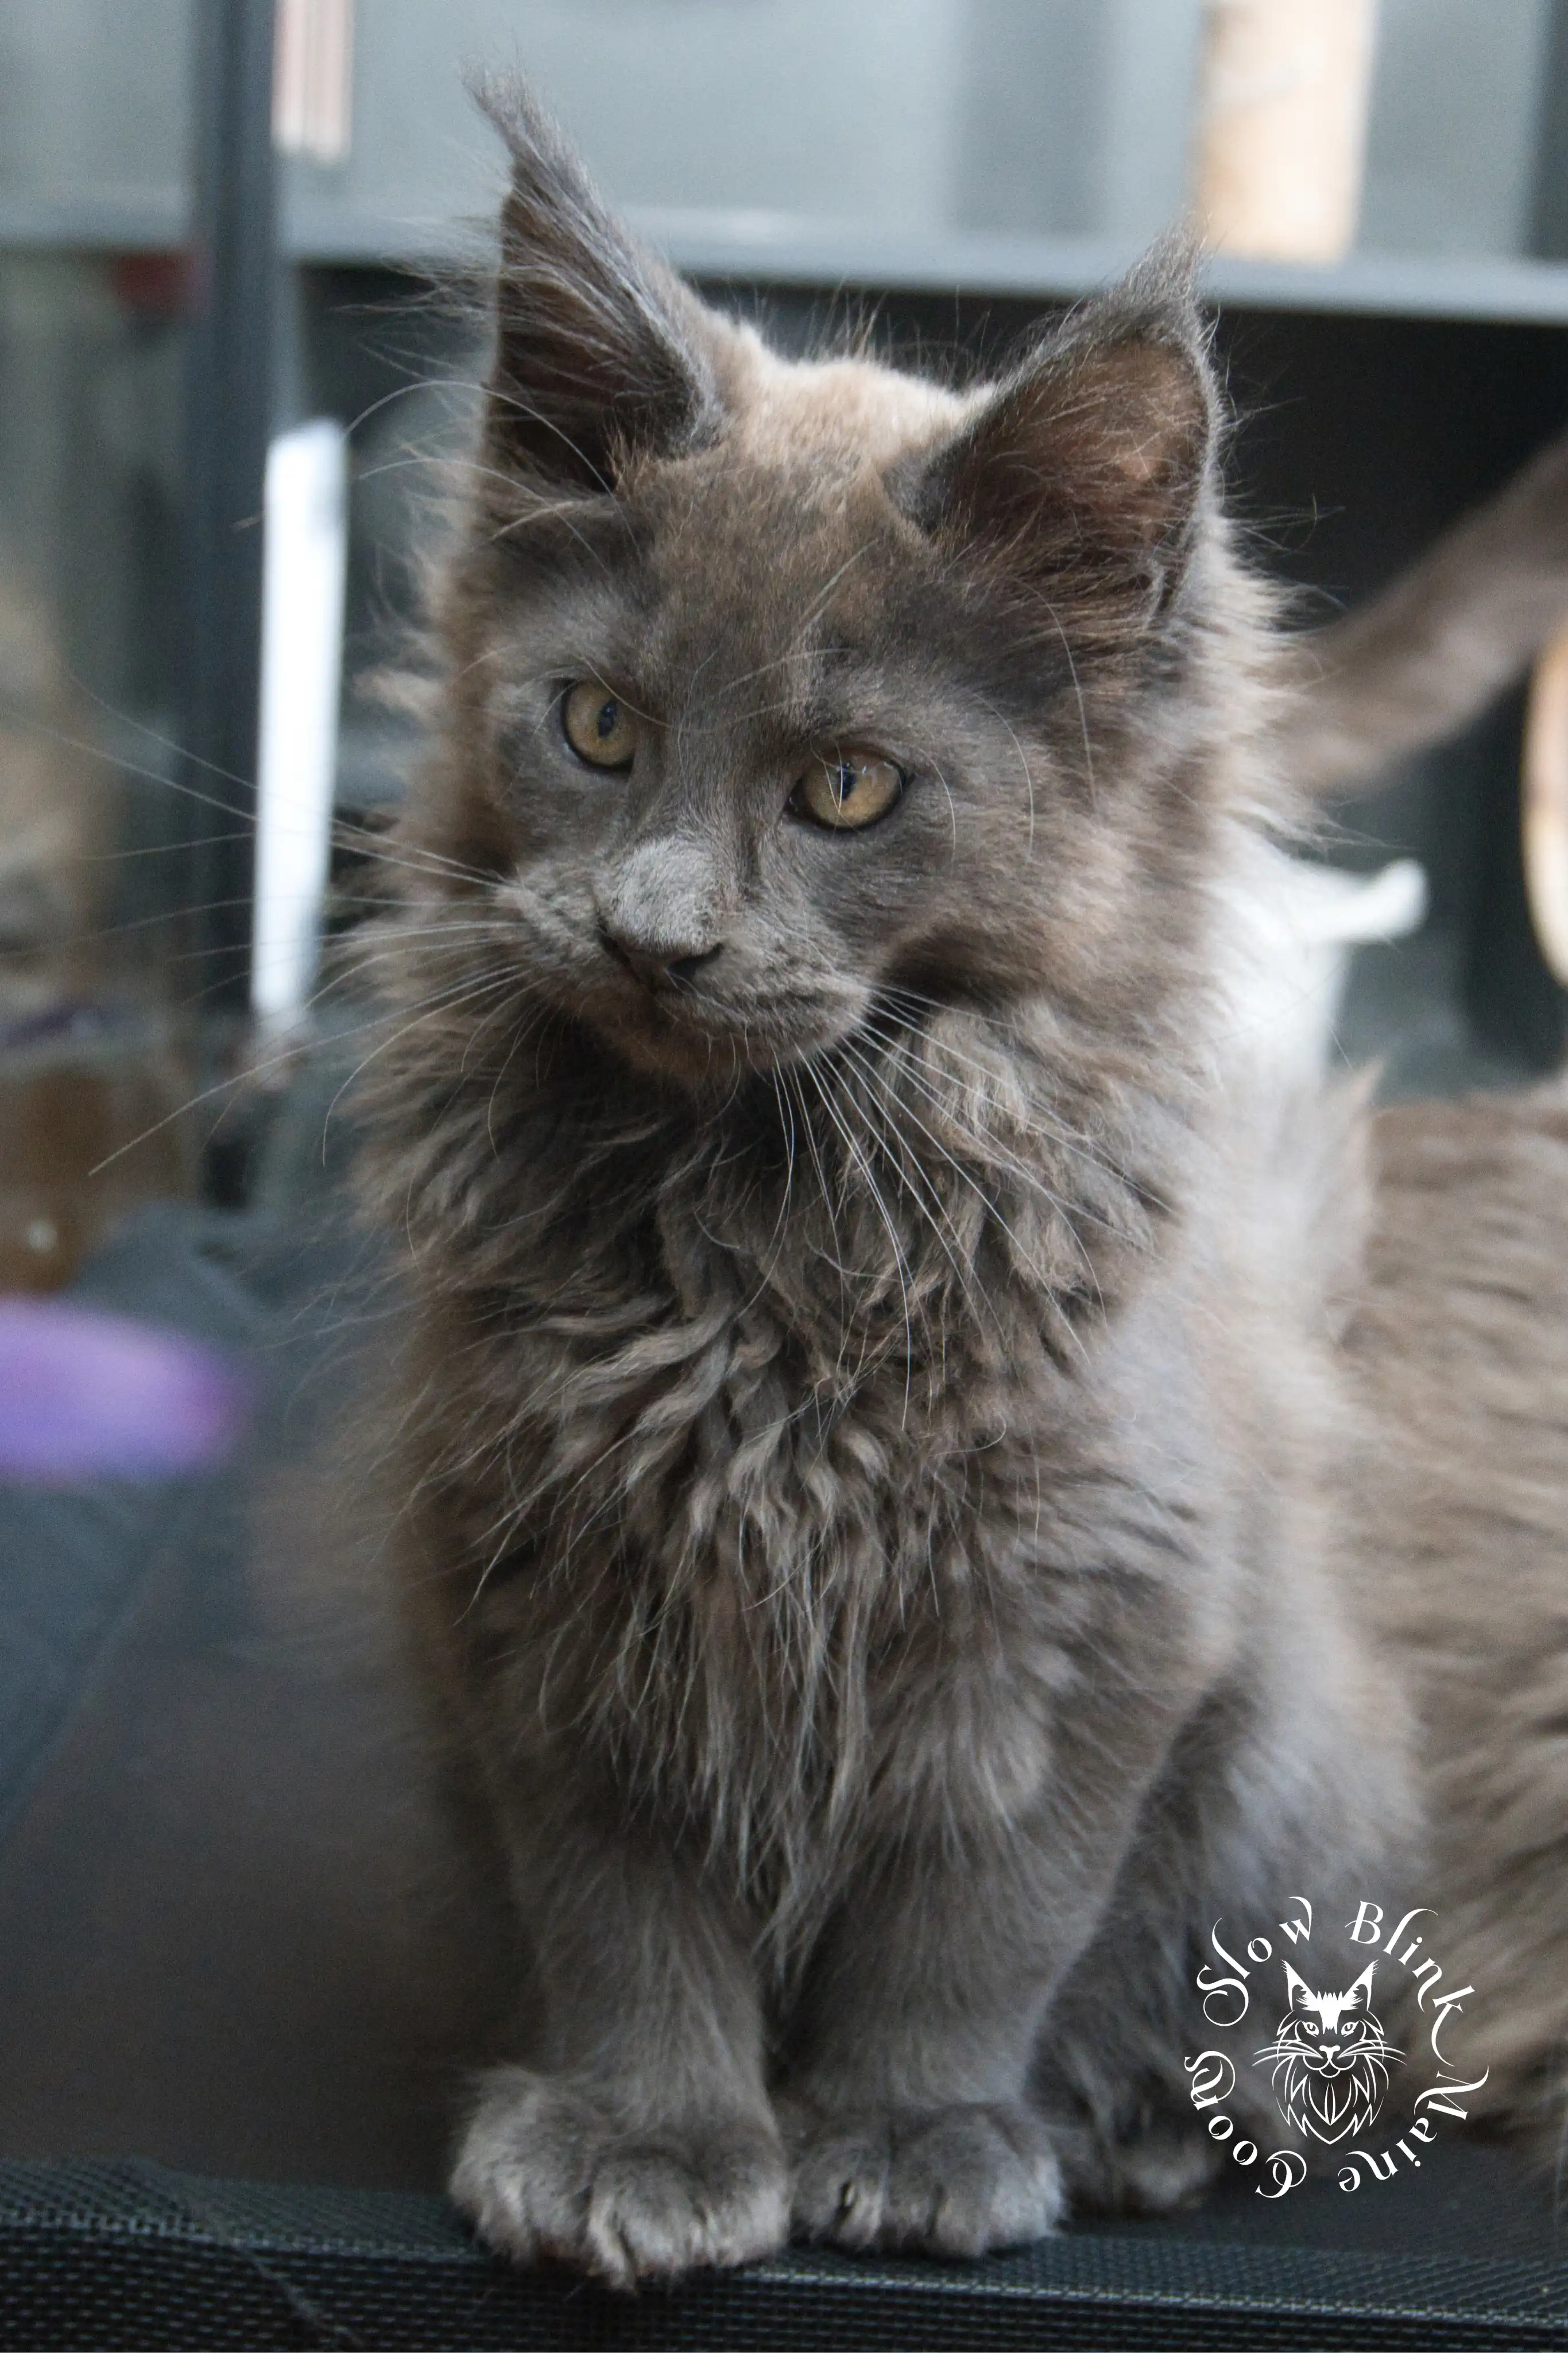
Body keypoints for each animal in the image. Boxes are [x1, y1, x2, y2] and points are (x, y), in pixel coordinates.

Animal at [350, 91, 1563, 2277]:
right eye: (597, 728)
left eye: (847, 788)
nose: (653, 933)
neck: (753, 1257)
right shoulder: (535, 1597)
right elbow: (623, 1913)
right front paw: (646, 2141)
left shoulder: (1100, 1621)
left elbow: (981, 1921)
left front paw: (916, 2135)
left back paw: (1139, 2118)